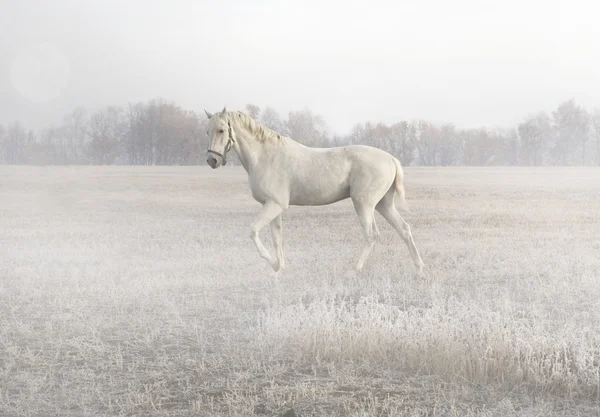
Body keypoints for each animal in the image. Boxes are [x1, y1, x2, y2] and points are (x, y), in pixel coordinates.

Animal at [206, 105, 426, 274]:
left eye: (221, 130)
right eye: (207, 131)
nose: (211, 160)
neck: (265, 156)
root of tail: (390, 158)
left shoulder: (274, 205)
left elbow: (253, 231)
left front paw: (272, 263)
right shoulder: (273, 206)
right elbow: (277, 238)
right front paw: (279, 268)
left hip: (364, 205)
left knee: (372, 236)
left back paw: (354, 270)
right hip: (383, 205)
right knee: (404, 229)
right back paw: (418, 268)